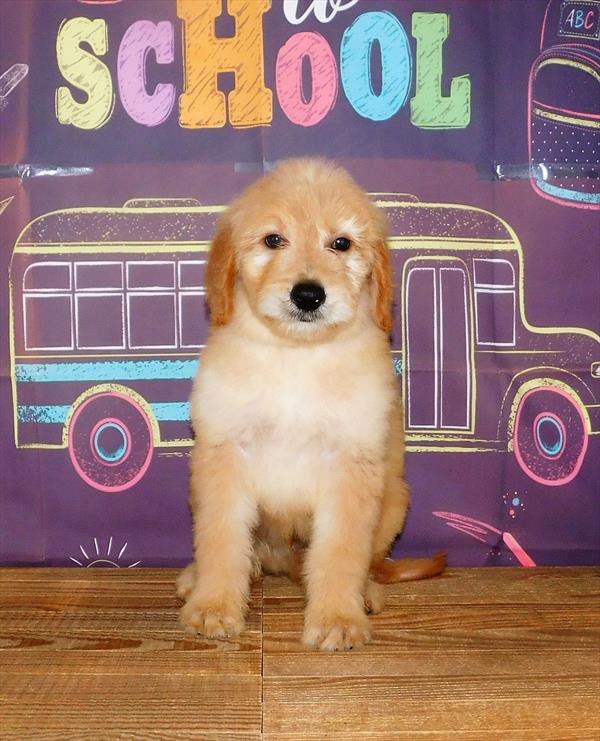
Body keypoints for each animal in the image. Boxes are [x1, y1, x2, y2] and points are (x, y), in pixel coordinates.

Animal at [176, 159, 442, 652]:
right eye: (273, 240)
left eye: (341, 243)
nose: (308, 295)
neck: (296, 356)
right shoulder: (223, 454)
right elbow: (221, 540)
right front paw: (214, 606)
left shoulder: (351, 466)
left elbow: (340, 552)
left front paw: (337, 618)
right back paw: (197, 578)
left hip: (395, 498)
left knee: (366, 561)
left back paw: (365, 593)